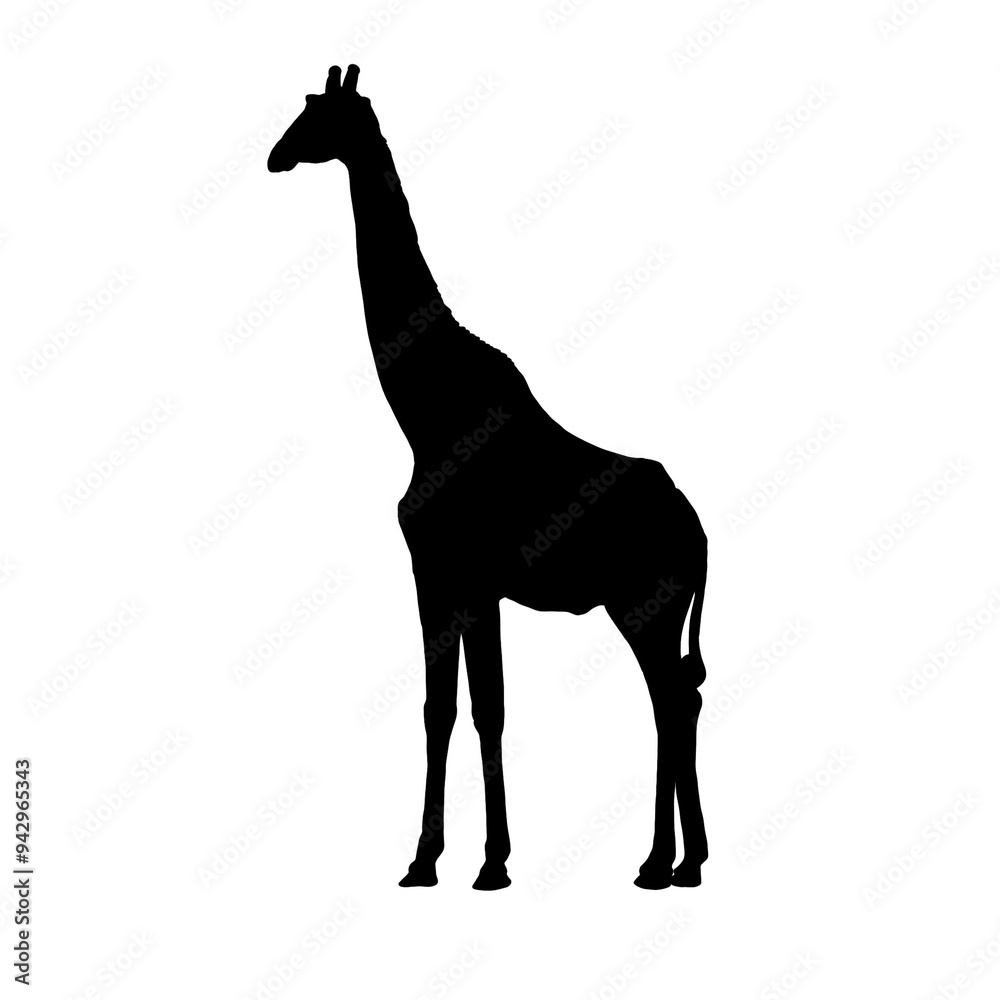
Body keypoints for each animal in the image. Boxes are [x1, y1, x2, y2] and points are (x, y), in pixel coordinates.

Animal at [268, 64, 709, 891]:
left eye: (320, 115)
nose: (275, 156)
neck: (423, 410)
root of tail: (699, 532)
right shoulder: (470, 583)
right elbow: (473, 709)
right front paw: (469, 858)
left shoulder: (444, 571)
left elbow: (456, 708)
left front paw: (454, 860)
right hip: (653, 610)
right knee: (682, 698)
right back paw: (682, 859)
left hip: (646, 606)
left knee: (670, 701)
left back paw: (662, 863)